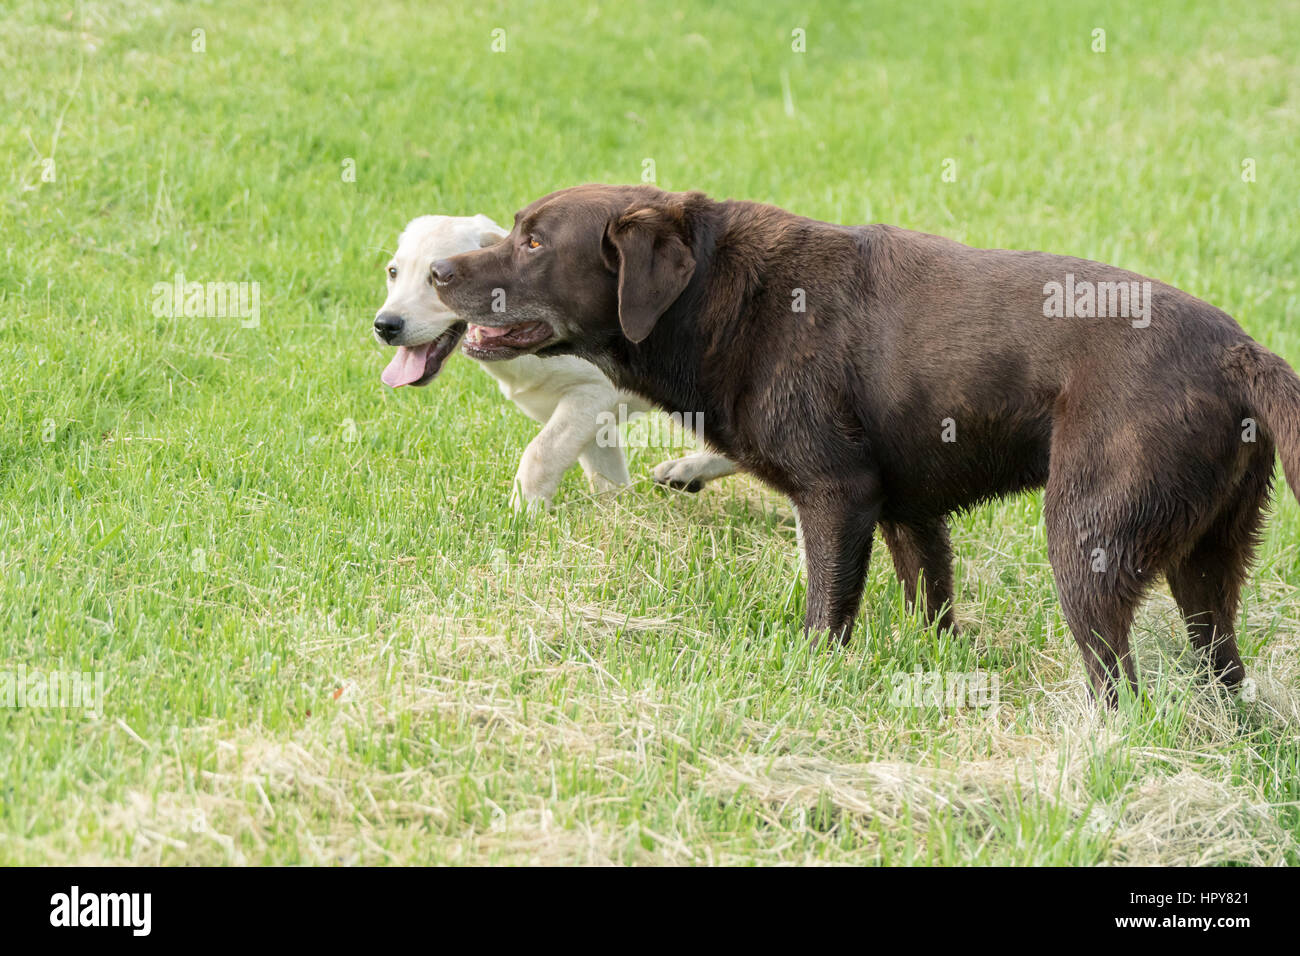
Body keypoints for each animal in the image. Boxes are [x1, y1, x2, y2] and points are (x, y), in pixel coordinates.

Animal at [431, 184, 1300, 702]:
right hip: (1209, 560)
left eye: (535, 243)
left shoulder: (836, 494)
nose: (438, 271)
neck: (720, 299)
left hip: (1088, 535)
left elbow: (826, 610)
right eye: (513, 231)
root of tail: (1241, 352)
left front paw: (811, 678)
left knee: (1115, 678)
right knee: (1220, 661)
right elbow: (931, 605)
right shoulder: (909, 511)